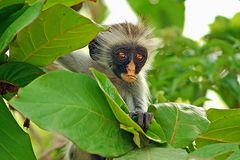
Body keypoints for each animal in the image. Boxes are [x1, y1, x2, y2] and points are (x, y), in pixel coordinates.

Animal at [57, 21, 158, 159]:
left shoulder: (137, 81)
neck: (112, 78)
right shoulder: (89, 66)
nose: (131, 69)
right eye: (122, 55)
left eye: (139, 56)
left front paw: (142, 115)